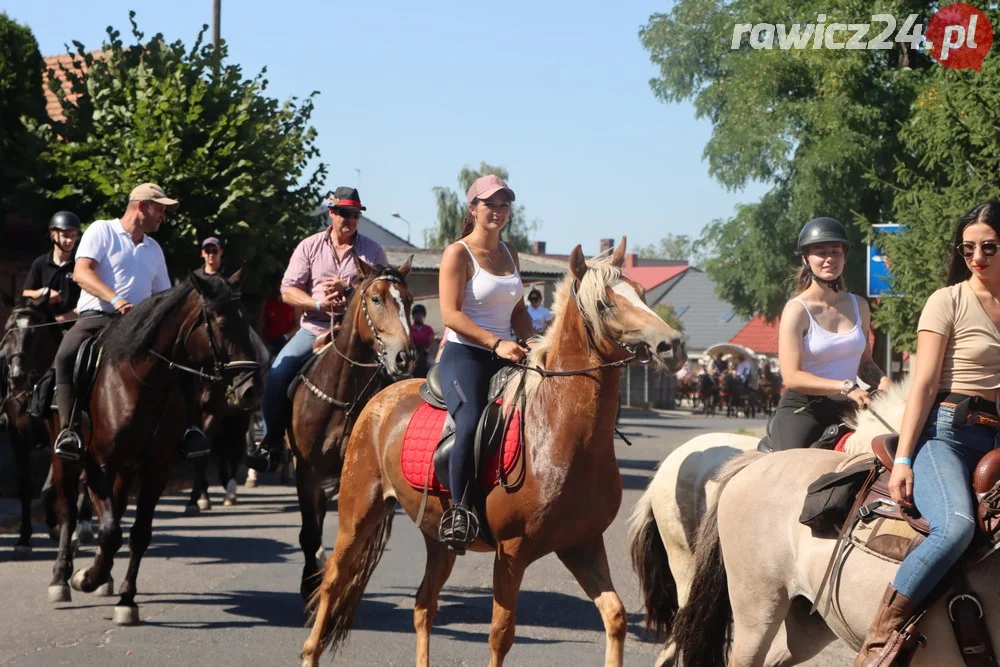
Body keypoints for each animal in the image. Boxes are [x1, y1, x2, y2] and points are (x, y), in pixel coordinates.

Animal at [46, 268, 264, 628]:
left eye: (246, 320)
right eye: (220, 323)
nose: (250, 391)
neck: (137, 383)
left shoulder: (155, 469)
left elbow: (137, 534)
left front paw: (125, 598)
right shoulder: (95, 463)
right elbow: (109, 531)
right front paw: (85, 578)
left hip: (125, 469)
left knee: (115, 510)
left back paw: (102, 576)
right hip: (66, 459)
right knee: (67, 512)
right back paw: (61, 579)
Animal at [288, 256, 416, 600]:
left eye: (409, 301)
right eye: (375, 299)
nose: (405, 357)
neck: (340, 395)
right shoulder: (306, 468)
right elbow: (309, 531)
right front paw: (310, 583)